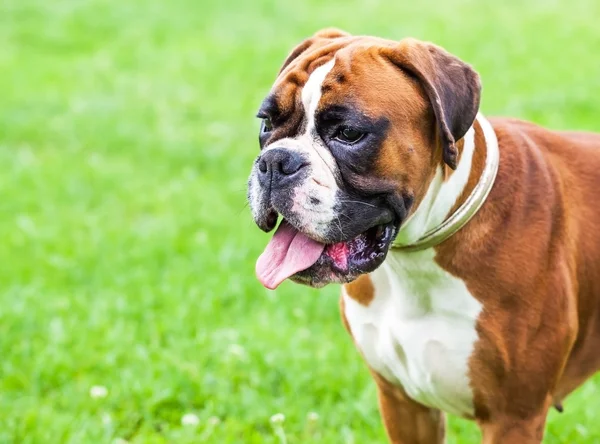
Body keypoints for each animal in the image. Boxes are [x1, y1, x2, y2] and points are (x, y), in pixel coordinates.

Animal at [246, 29, 600, 442]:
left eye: (348, 133)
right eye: (266, 123)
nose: (276, 161)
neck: (414, 263)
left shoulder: (514, 418)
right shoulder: (403, 405)